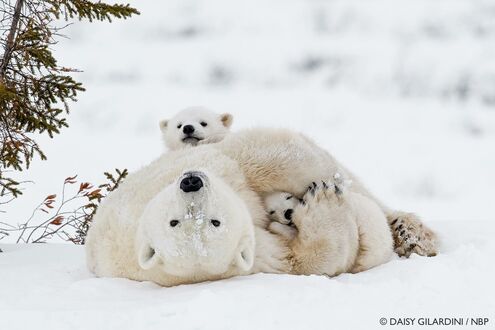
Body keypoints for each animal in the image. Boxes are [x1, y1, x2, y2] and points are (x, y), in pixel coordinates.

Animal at [85, 126, 438, 286]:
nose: (192, 182)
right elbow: (304, 259)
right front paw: (321, 201)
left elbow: (266, 157)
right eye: (176, 222)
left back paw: (411, 232)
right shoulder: (254, 257)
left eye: (212, 220)